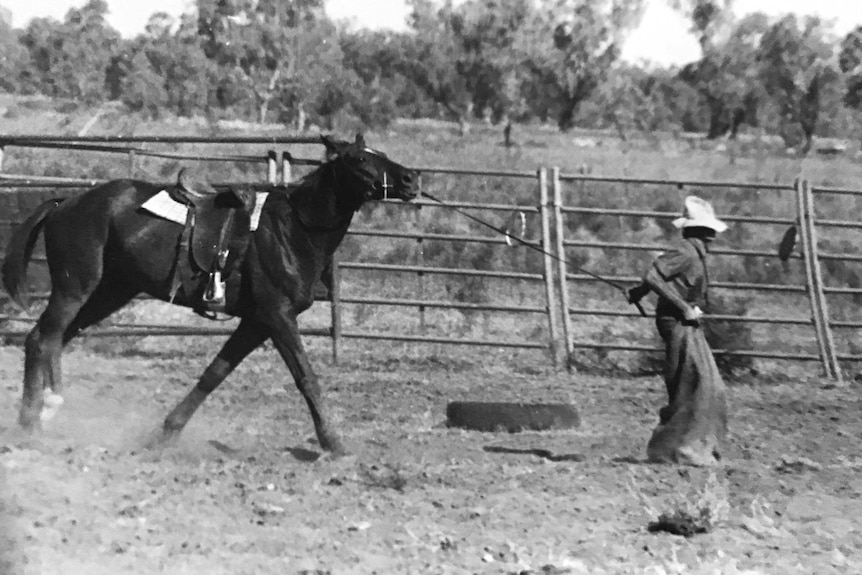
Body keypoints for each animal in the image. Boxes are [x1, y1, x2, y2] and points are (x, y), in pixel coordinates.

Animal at [0, 133, 418, 456]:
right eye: (360, 159)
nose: (411, 178)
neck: (292, 229)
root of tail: (65, 203)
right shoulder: (278, 316)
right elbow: (306, 377)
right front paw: (333, 442)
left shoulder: (256, 322)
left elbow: (214, 374)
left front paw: (166, 432)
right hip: (75, 288)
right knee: (44, 339)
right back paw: (35, 418)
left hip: (109, 293)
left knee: (51, 338)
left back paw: (39, 414)